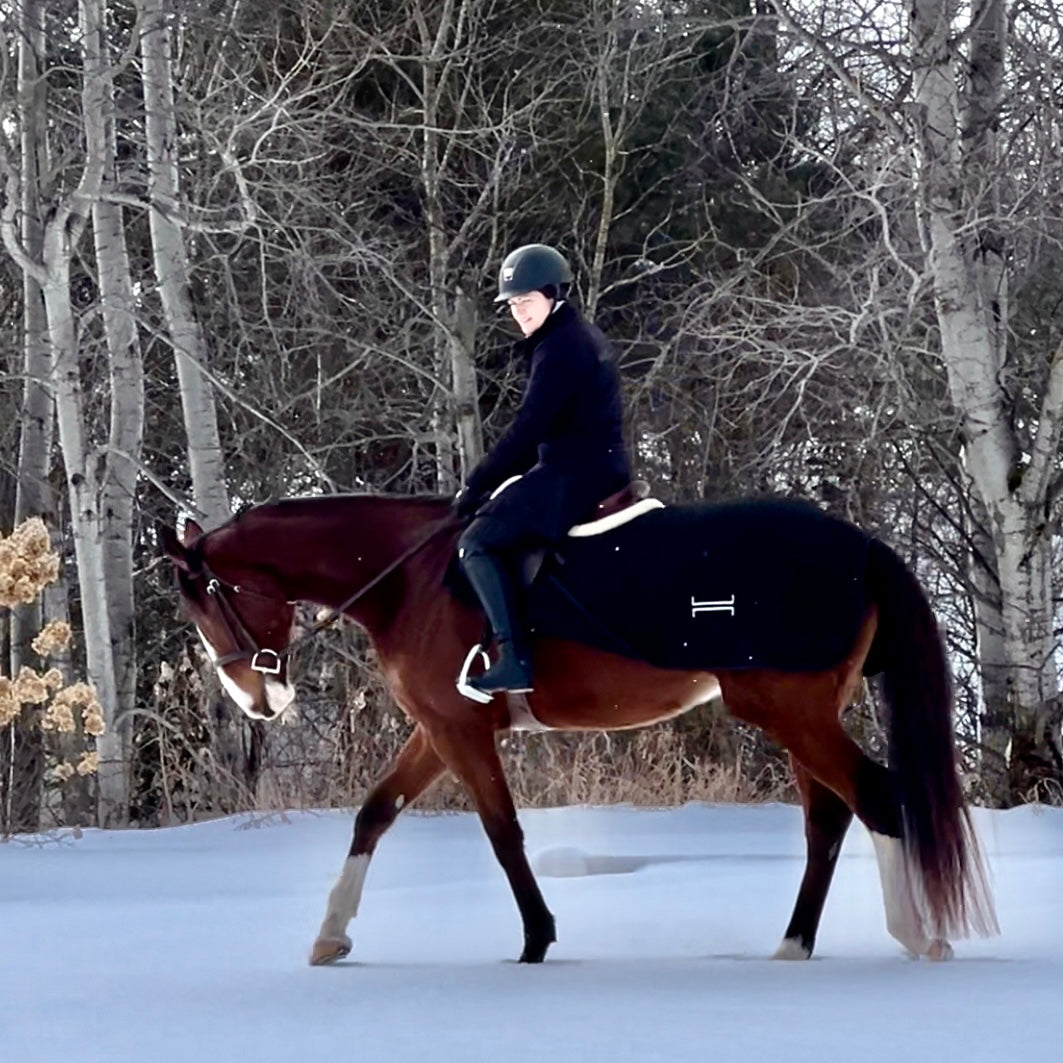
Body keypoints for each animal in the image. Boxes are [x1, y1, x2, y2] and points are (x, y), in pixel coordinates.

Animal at [159, 488, 994, 965]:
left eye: (207, 600)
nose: (257, 701)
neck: (410, 578)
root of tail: (860, 545)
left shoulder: (460, 731)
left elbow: (502, 833)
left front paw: (535, 938)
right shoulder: (437, 728)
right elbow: (373, 813)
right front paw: (330, 934)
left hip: (790, 710)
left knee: (874, 796)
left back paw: (915, 935)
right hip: (800, 714)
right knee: (827, 816)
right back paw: (792, 944)